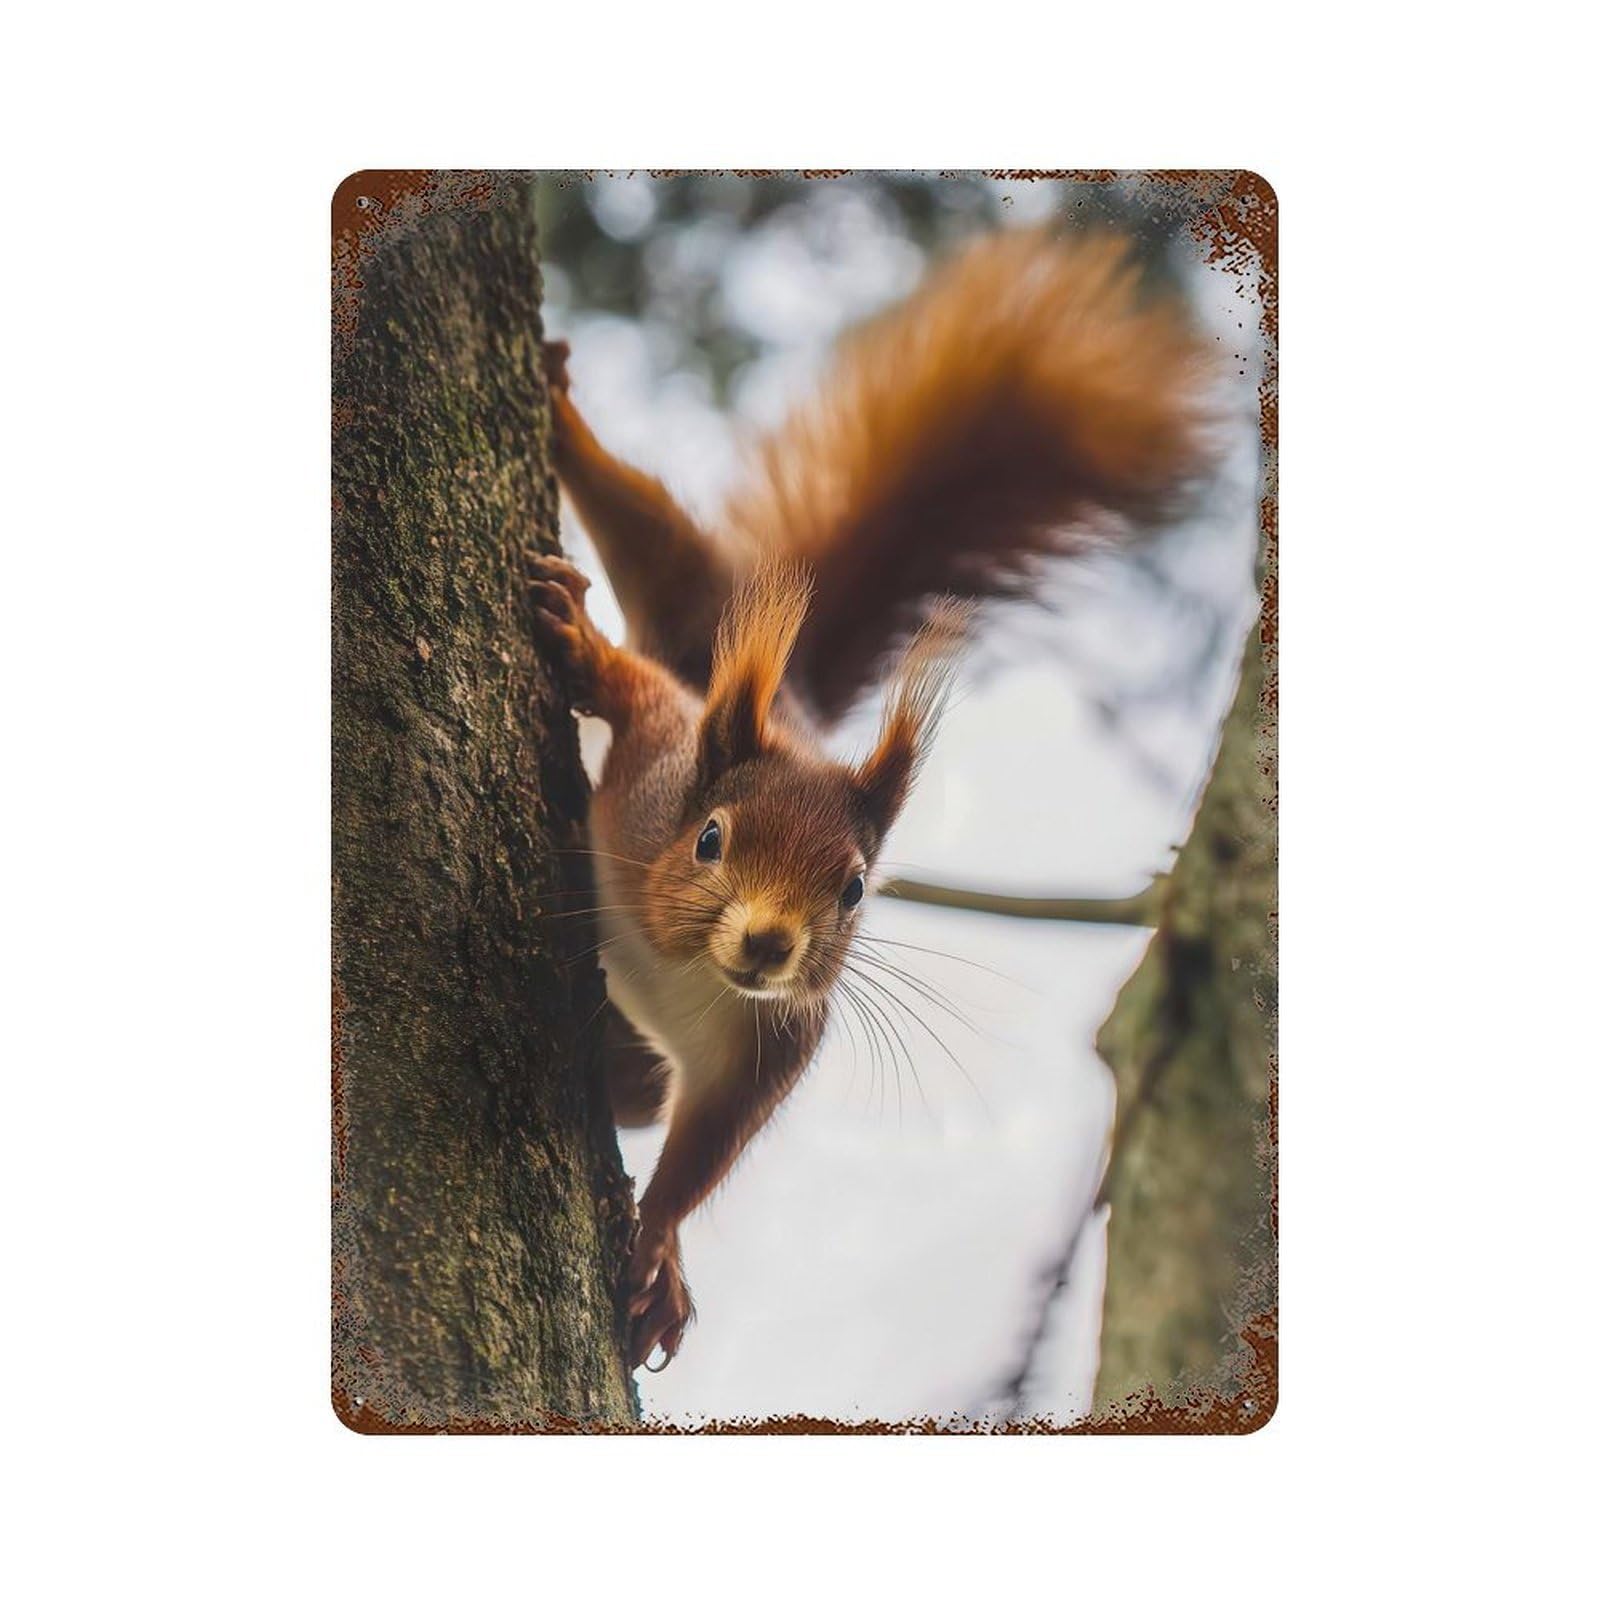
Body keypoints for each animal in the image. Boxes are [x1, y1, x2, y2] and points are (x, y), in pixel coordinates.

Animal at [530, 228, 1213, 1371]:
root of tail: (790, 698)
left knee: (651, 1095)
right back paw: (562, 413)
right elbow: (639, 695)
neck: (682, 969)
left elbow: (705, 1153)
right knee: (648, 531)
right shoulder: (654, 774)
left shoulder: (768, 1049)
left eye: (853, 892)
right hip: (696, 595)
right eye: (709, 838)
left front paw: (659, 1253)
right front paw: (581, 647)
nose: (770, 943)